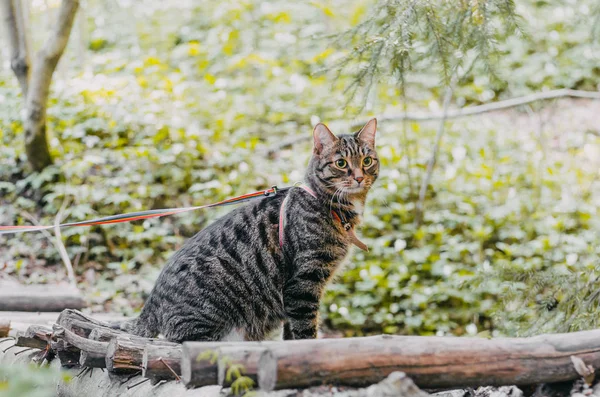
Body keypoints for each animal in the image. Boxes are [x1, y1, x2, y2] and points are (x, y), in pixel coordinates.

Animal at [119, 117, 378, 340]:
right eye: (341, 163)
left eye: (367, 161)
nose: (358, 177)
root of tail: (149, 305)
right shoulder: (303, 285)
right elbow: (305, 332)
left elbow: (290, 337)